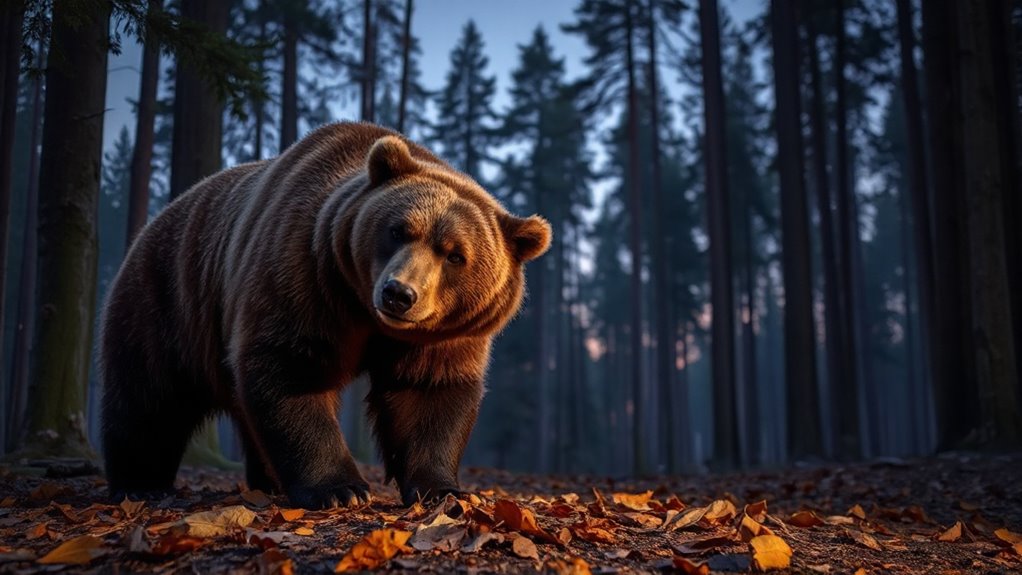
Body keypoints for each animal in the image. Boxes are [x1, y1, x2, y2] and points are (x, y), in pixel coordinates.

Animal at [99, 122, 551, 509]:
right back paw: (140, 483)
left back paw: (265, 480)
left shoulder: (443, 336)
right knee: (148, 395)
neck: (364, 314)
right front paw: (340, 489)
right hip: (170, 295)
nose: (399, 294)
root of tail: (156, 220)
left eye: (455, 255)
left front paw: (441, 490)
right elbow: (293, 369)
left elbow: (429, 390)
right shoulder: (306, 275)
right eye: (398, 230)